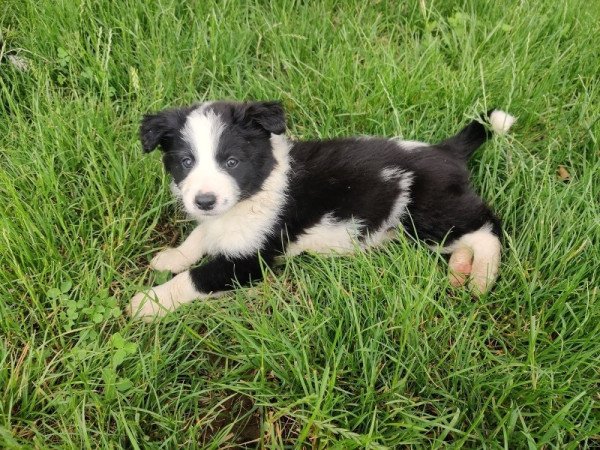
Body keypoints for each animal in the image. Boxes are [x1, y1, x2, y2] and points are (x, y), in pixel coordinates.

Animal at [127, 102, 516, 320]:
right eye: (186, 162)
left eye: (232, 162)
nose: (204, 201)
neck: (258, 187)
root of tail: (444, 151)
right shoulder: (220, 225)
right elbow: (199, 236)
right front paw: (171, 257)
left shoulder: (252, 260)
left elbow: (196, 277)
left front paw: (149, 302)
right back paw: (460, 268)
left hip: (427, 214)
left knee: (486, 226)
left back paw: (481, 276)